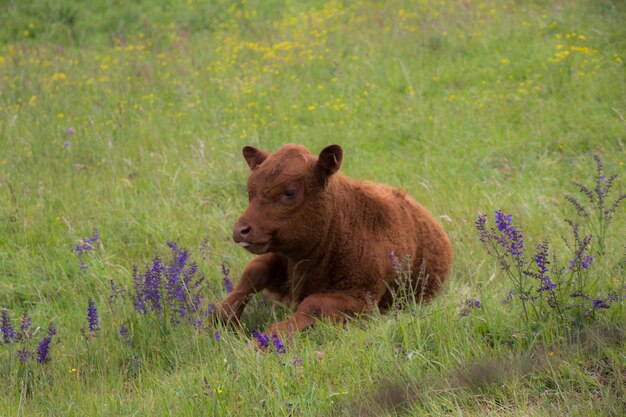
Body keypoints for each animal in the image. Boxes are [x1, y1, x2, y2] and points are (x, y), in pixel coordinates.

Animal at [217, 144, 450, 334]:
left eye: (290, 192)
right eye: (250, 191)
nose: (240, 230)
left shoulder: (361, 300)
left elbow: (313, 304)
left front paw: (266, 339)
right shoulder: (281, 255)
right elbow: (252, 273)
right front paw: (218, 319)